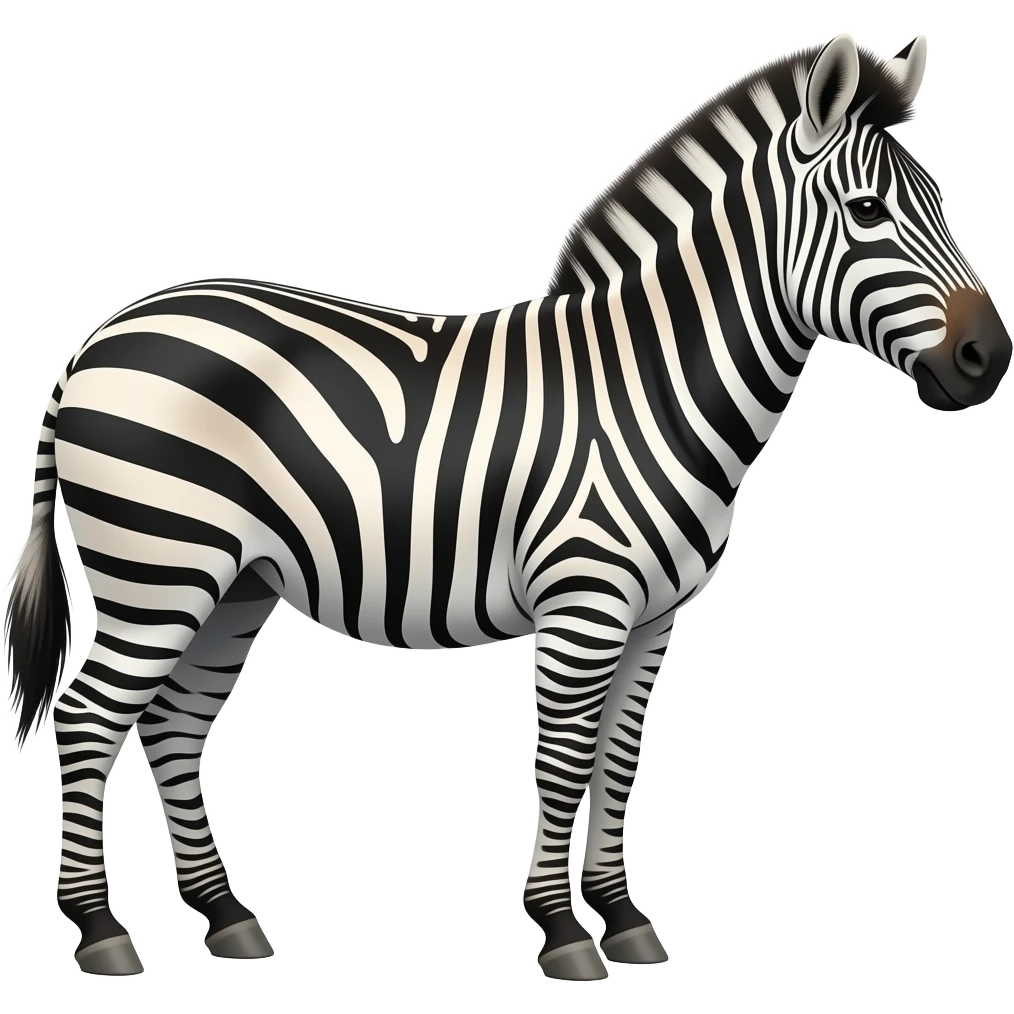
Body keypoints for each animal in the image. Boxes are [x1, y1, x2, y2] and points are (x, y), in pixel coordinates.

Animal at [3, 32, 1010, 982]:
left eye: (941, 202)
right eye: (869, 212)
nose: (987, 359)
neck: (652, 388)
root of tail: (96, 340)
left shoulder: (654, 620)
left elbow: (619, 759)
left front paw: (625, 918)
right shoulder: (584, 607)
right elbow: (563, 761)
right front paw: (565, 933)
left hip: (233, 582)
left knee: (173, 723)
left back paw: (227, 917)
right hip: (159, 566)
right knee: (89, 719)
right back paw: (100, 931)